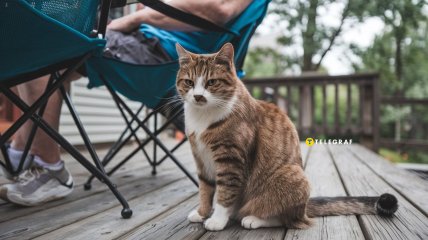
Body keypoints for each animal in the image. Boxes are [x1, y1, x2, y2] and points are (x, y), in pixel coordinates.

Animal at [175, 42, 398, 231]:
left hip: (292, 177)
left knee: (287, 219)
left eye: (212, 82)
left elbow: (225, 192)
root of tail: (305, 207)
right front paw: (202, 213)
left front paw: (217, 220)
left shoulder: (230, 159)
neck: (203, 117)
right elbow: (205, 189)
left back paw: (253, 219)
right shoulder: (200, 157)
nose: (198, 96)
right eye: (189, 82)